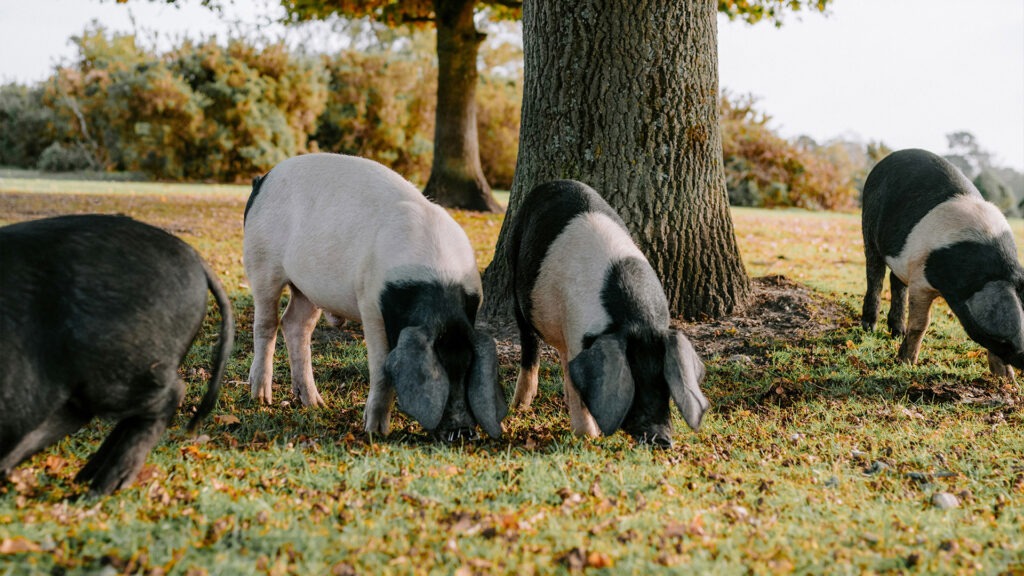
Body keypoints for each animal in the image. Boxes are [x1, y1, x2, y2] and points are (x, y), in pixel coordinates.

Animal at [243, 153, 506, 441]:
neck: (439, 282)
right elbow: (381, 369)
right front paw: (375, 431)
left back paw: (314, 404)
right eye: (438, 372)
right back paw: (261, 398)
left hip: (308, 288)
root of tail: (262, 180)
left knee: (295, 325)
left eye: (468, 370)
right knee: (266, 323)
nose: (463, 431)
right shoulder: (370, 303)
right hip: (261, 261)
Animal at [507, 179, 710, 447]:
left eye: (666, 383)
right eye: (631, 384)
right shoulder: (577, 332)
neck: (636, 321)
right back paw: (520, 406)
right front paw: (589, 437)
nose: (662, 440)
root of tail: (556, 182)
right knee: (529, 343)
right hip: (515, 274)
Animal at [861, 148, 1024, 378]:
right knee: (875, 275)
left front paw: (1007, 379)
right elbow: (921, 323)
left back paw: (897, 332)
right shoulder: (920, 277)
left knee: (896, 281)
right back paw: (870, 327)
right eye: (1006, 341)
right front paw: (905, 363)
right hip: (868, 229)